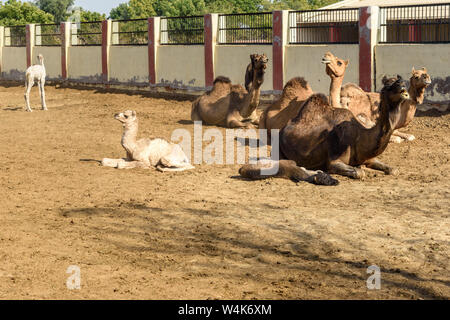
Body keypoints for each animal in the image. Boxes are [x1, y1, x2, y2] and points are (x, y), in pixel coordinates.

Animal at [241, 75, 410, 185]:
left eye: (399, 81)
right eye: (388, 85)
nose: (402, 83)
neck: (360, 135)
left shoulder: (369, 157)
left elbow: (393, 170)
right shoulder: (334, 161)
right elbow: (358, 172)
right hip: (278, 149)